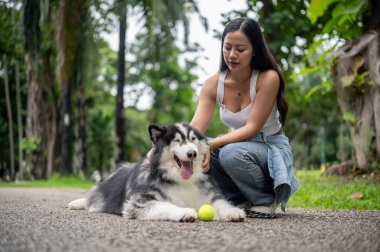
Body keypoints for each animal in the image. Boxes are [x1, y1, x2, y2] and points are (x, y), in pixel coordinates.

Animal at [68, 123, 245, 221]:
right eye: (177, 141)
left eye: (193, 140)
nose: (192, 153)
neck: (182, 180)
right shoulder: (138, 202)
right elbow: (166, 205)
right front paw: (185, 212)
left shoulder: (207, 195)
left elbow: (220, 203)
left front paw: (232, 211)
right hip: (102, 195)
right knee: (93, 197)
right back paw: (76, 203)